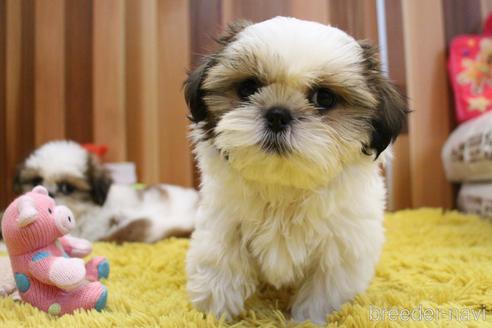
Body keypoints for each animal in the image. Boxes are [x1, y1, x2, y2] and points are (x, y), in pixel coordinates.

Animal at [184, 16, 408, 322]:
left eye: (324, 98)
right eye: (248, 88)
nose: (278, 115)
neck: (284, 187)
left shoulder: (340, 247)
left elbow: (324, 291)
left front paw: (309, 320)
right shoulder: (223, 223)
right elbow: (220, 263)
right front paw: (213, 313)